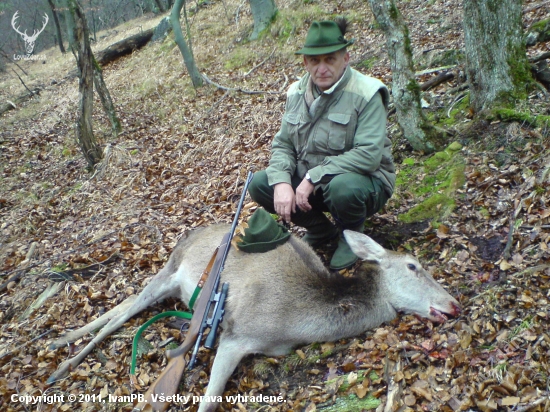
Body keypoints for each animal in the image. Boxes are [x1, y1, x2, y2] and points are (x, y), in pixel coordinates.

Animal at [47, 225, 464, 412]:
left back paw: (59, 343)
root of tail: (185, 236)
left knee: (126, 304)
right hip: (170, 270)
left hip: (174, 286)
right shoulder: (235, 335)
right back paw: (60, 360)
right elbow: (209, 401)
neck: (297, 320)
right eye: (413, 266)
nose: (453, 304)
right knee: (128, 308)